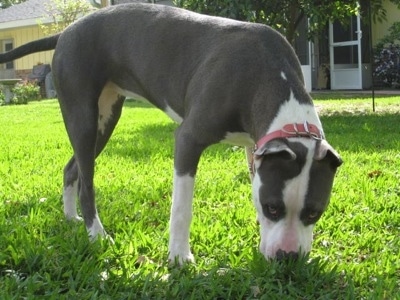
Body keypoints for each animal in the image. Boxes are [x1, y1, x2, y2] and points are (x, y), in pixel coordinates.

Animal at [0, 3, 340, 264]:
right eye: (273, 207)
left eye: (314, 213)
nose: (288, 258)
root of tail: (67, 30)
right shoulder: (188, 140)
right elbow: (181, 208)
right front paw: (178, 256)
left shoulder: (255, 148)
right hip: (82, 115)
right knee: (87, 181)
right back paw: (96, 233)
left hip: (103, 120)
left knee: (72, 168)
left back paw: (73, 220)